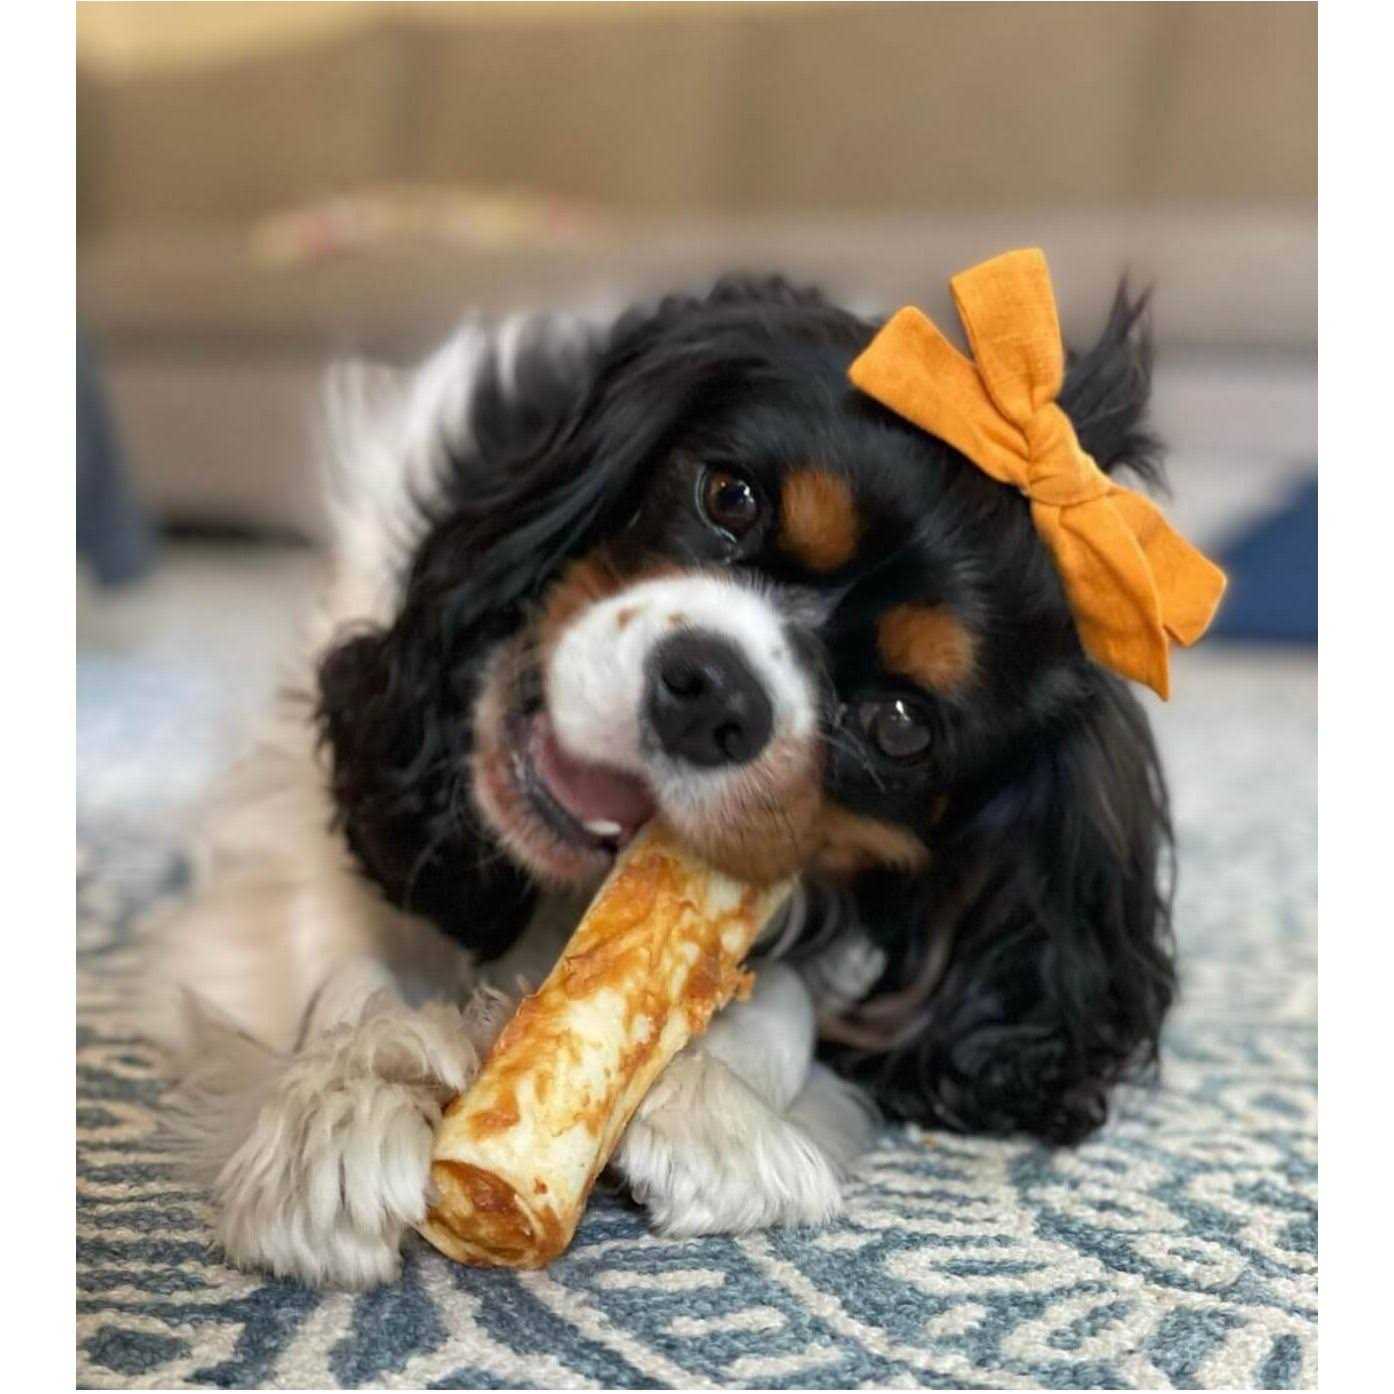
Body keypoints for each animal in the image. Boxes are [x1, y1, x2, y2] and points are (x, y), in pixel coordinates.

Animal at [150, 267, 1183, 1289]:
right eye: (729, 497)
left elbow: (779, 1002)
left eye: (899, 725)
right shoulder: (305, 813)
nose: (714, 691)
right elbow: (336, 952)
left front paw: (712, 1104)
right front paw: (347, 1101)